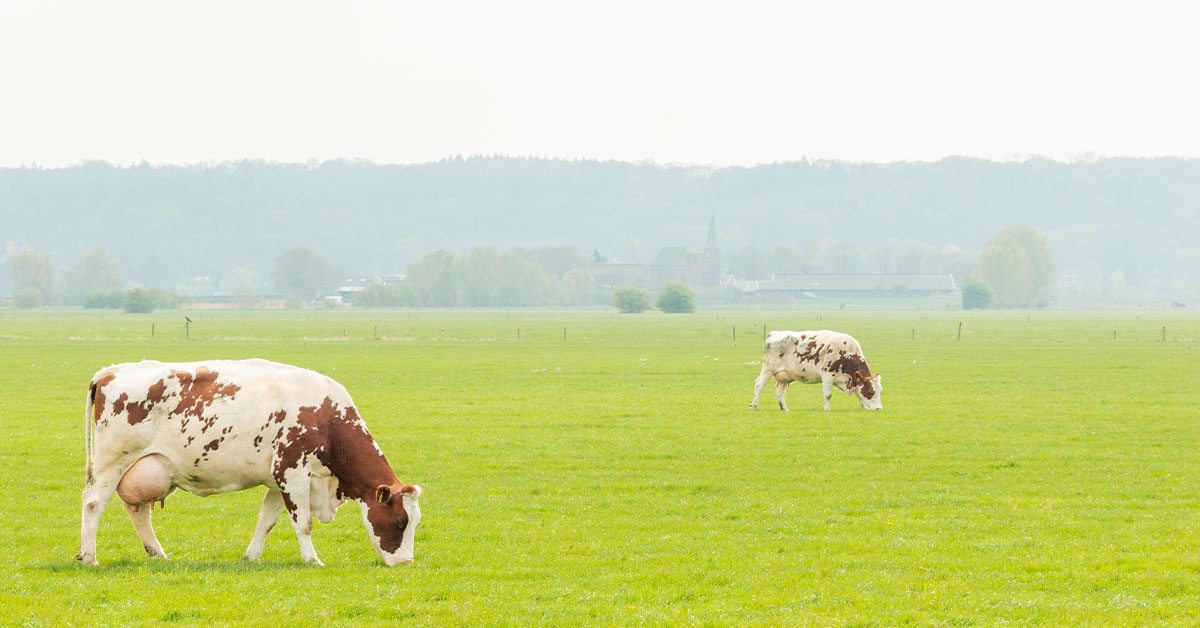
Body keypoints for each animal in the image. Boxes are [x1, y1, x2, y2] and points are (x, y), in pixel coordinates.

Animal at [77, 357, 424, 569]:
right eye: (399, 522)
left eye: (415, 523)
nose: (406, 562)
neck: (327, 416)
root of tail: (108, 372)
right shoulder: (293, 471)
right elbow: (303, 523)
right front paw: (312, 559)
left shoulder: (278, 479)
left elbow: (266, 520)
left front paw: (252, 556)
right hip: (111, 462)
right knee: (93, 503)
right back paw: (89, 556)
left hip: (145, 468)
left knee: (138, 511)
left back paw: (158, 553)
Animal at [748, 329, 883, 413]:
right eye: (871, 391)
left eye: (880, 391)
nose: (879, 408)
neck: (846, 352)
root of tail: (772, 334)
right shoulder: (827, 374)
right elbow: (828, 395)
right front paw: (827, 409)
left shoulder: (851, 379)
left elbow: (858, 393)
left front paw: (864, 407)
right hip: (768, 369)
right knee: (759, 384)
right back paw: (753, 405)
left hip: (785, 376)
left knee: (779, 390)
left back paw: (784, 408)